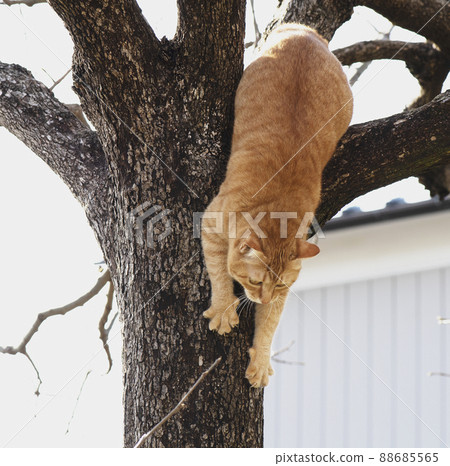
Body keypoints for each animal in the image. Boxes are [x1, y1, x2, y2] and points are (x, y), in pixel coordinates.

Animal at [202, 23, 354, 388]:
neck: (276, 208)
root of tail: (304, 32)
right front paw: (224, 308)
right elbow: (218, 272)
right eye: (256, 283)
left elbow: (271, 321)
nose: (264, 296)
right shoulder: (210, 223)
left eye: (280, 285)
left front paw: (260, 359)